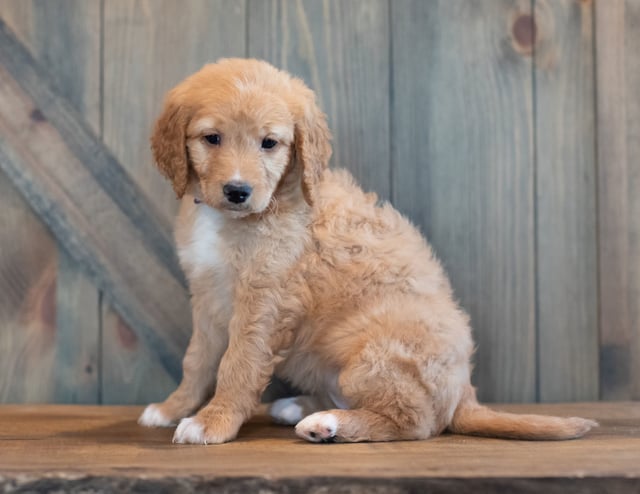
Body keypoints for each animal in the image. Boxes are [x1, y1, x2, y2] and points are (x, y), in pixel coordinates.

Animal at [138, 58, 596, 444]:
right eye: (212, 139)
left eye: (269, 143)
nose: (237, 191)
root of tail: (465, 393)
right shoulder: (207, 296)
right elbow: (197, 360)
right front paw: (173, 408)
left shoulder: (263, 302)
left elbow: (238, 364)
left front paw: (212, 423)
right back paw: (298, 406)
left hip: (374, 355)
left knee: (415, 422)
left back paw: (326, 424)